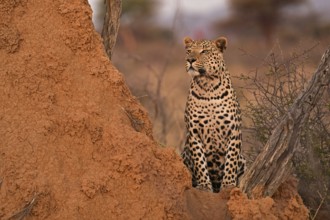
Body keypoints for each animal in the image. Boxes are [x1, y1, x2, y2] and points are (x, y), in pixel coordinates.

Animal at [182, 35, 246, 192]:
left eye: (204, 51)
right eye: (189, 51)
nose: (190, 60)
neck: (208, 86)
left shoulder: (234, 131)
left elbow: (231, 160)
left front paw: (228, 185)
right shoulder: (194, 133)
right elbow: (199, 161)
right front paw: (204, 186)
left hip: (243, 159)